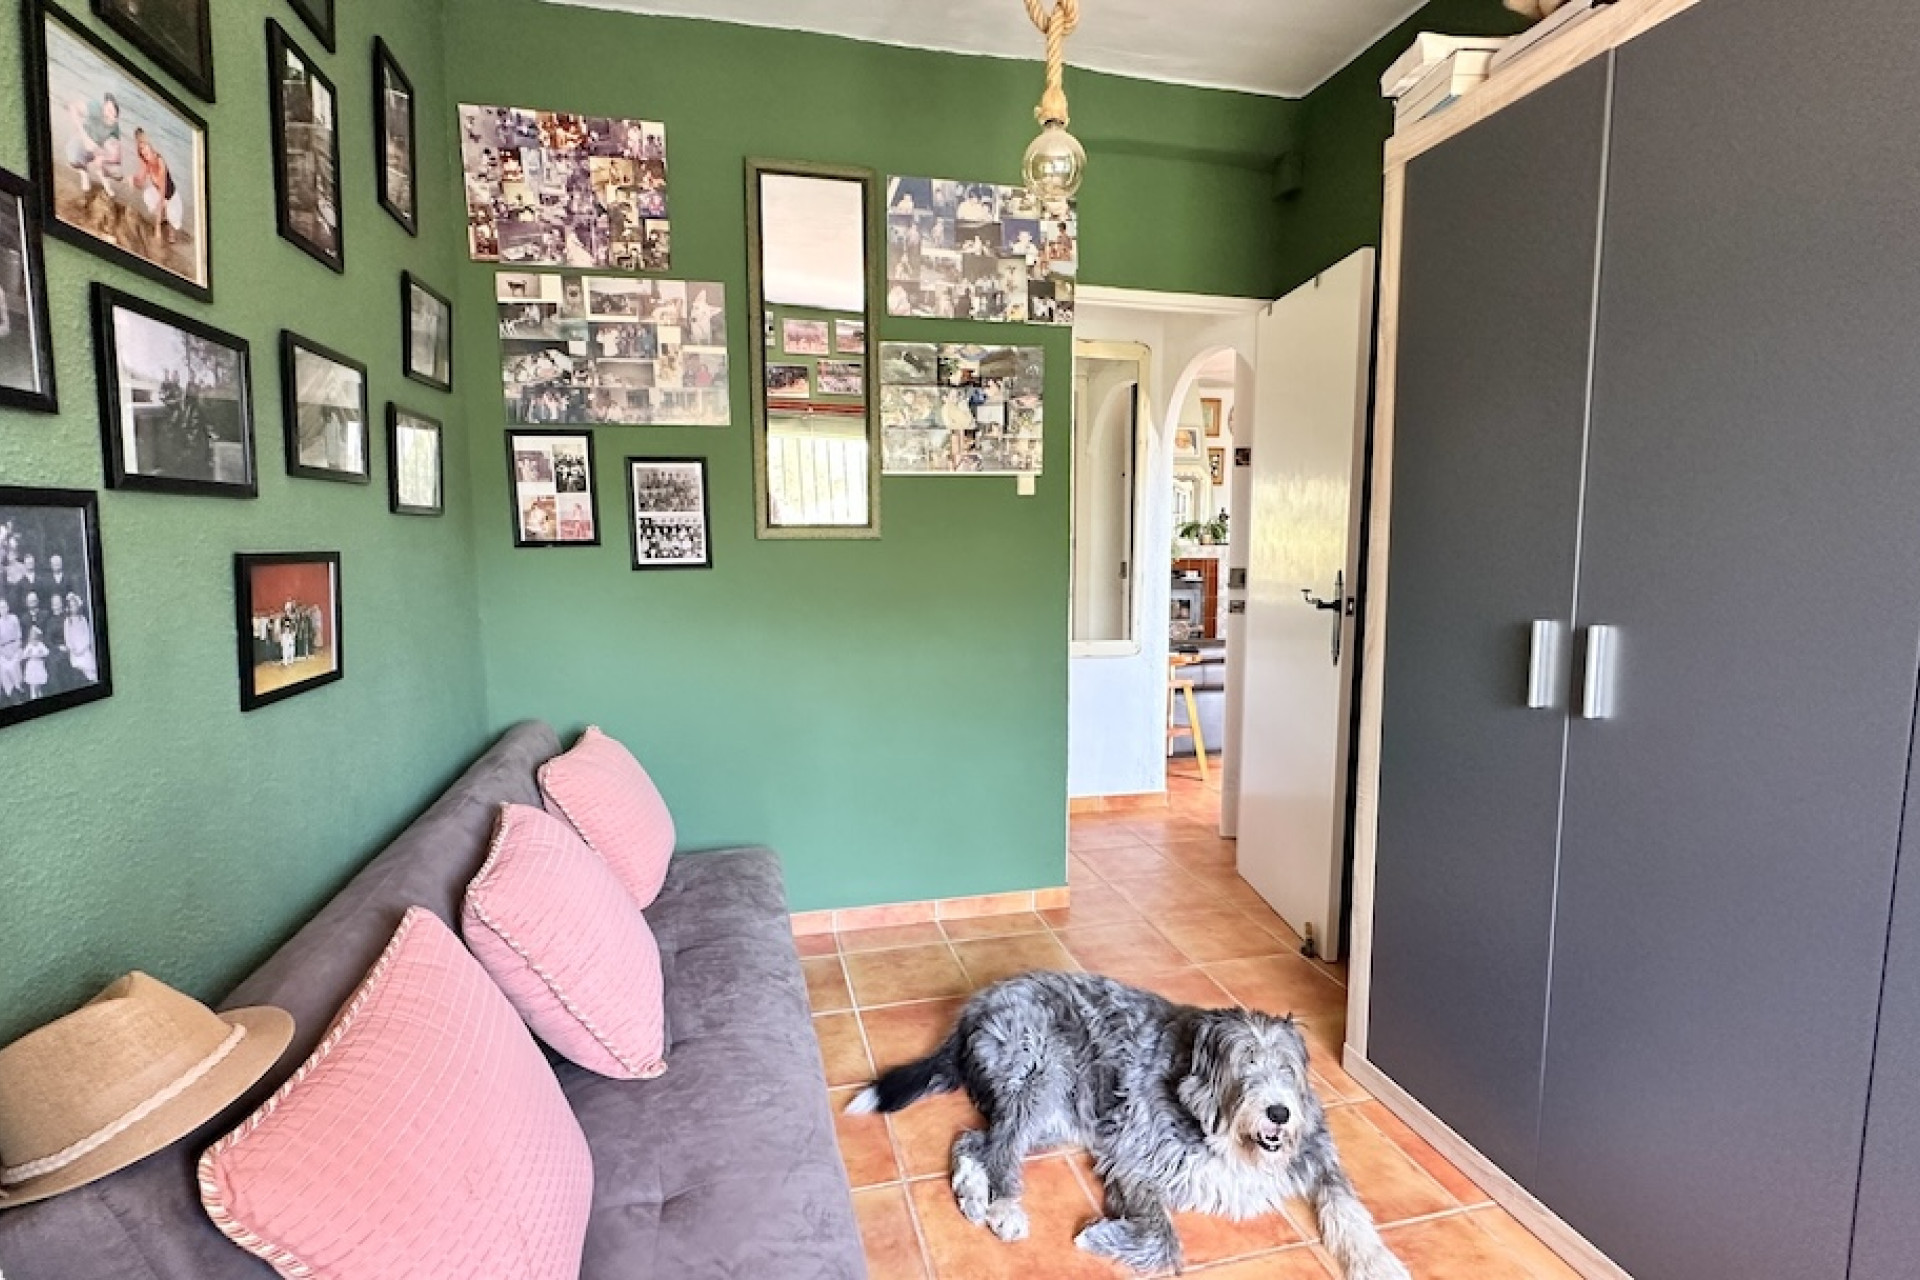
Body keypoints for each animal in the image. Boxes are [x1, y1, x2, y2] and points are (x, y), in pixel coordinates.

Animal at [848, 971, 1410, 1279]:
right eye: (1245, 1065)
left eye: (1287, 1069)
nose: (1279, 1113)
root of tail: (978, 1004)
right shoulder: (1136, 1161)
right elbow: (1165, 1239)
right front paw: (1097, 1237)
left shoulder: (1318, 1160)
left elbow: (1348, 1210)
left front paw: (1380, 1265)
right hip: (1041, 1076)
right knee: (1001, 1148)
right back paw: (1004, 1207)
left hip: (1060, 1115)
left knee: (972, 1139)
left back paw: (972, 1192)